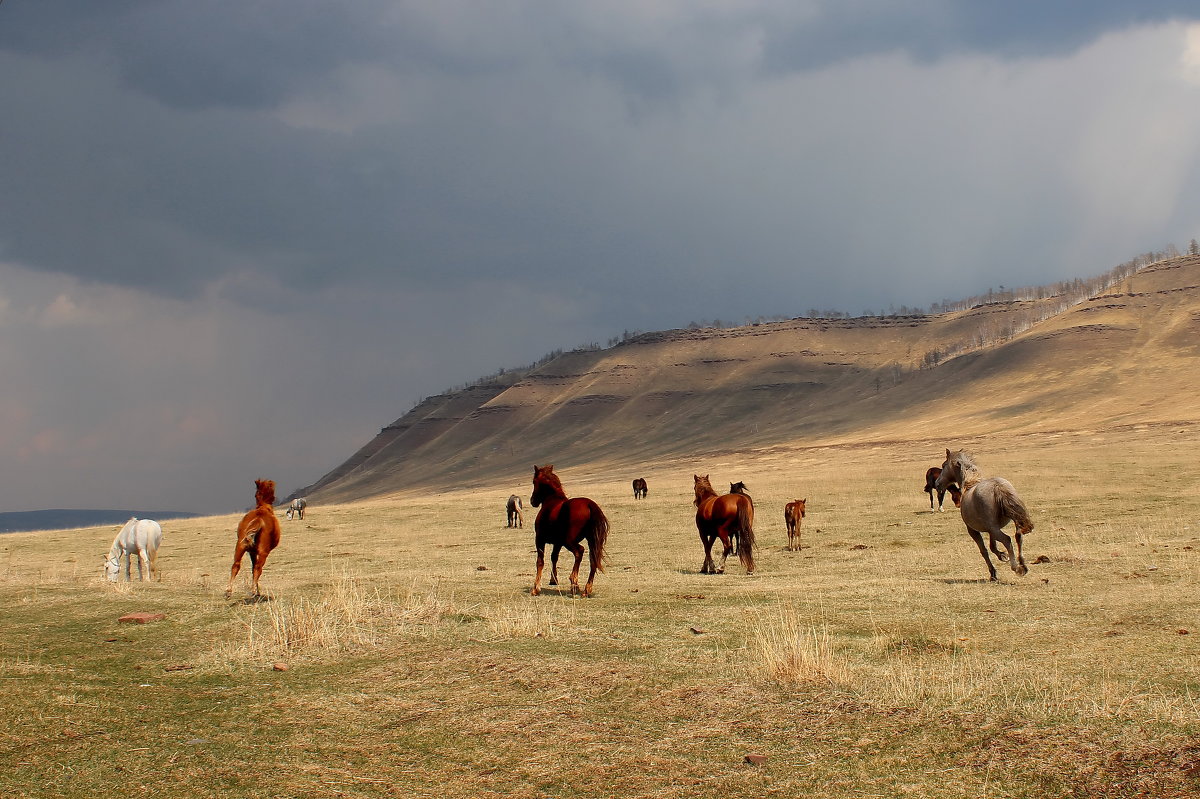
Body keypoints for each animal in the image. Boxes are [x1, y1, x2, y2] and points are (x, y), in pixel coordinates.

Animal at [530, 463, 609, 595]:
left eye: (534, 481)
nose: (532, 501)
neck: (551, 501)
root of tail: (589, 504)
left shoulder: (540, 539)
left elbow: (540, 562)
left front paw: (536, 588)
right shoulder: (557, 543)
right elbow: (554, 557)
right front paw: (553, 579)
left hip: (569, 541)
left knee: (579, 551)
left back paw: (574, 582)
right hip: (591, 541)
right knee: (593, 560)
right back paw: (587, 588)